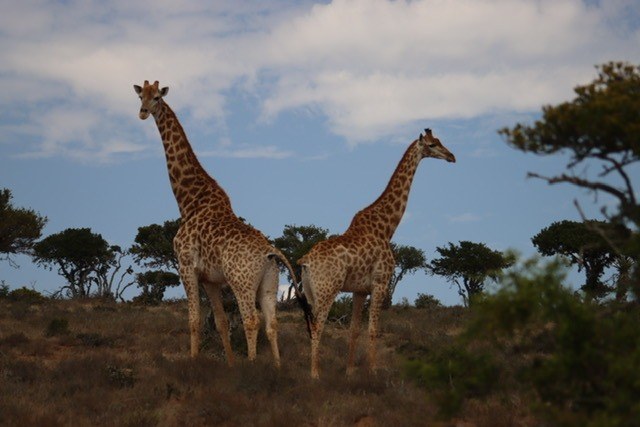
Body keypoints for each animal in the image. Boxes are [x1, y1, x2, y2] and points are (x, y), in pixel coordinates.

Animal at [133, 80, 310, 367]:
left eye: (157, 97)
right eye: (141, 96)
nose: (143, 112)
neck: (189, 201)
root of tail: (271, 252)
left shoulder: (186, 267)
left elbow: (194, 320)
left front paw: (194, 362)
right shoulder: (211, 280)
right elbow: (221, 322)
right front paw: (230, 364)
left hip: (242, 282)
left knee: (251, 320)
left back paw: (252, 365)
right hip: (269, 284)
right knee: (272, 323)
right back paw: (276, 368)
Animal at [298, 129, 455, 378]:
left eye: (440, 141)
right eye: (432, 145)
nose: (451, 156)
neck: (386, 228)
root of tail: (305, 262)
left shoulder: (360, 290)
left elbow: (354, 330)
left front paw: (349, 371)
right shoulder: (381, 283)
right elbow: (373, 330)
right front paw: (373, 372)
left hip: (313, 293)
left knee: (312, 326)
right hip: (327, 290)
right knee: (317, 327)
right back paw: (315, 375)